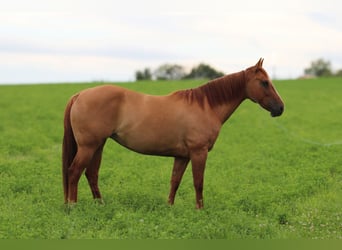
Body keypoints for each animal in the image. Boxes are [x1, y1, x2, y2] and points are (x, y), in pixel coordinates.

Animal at [62, 58, 284, 209]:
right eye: (264, 82)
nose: (280, 108)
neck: (205, 106)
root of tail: (80, 95)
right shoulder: (198, 152)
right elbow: (198, 182)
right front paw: (200, 210)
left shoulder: (182, 156)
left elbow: (174, 182)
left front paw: (169, 207)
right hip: (88, 146)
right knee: (74, 171)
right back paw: (73, 206)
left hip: (98, 146)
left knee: (91, 173)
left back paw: (100, 204)